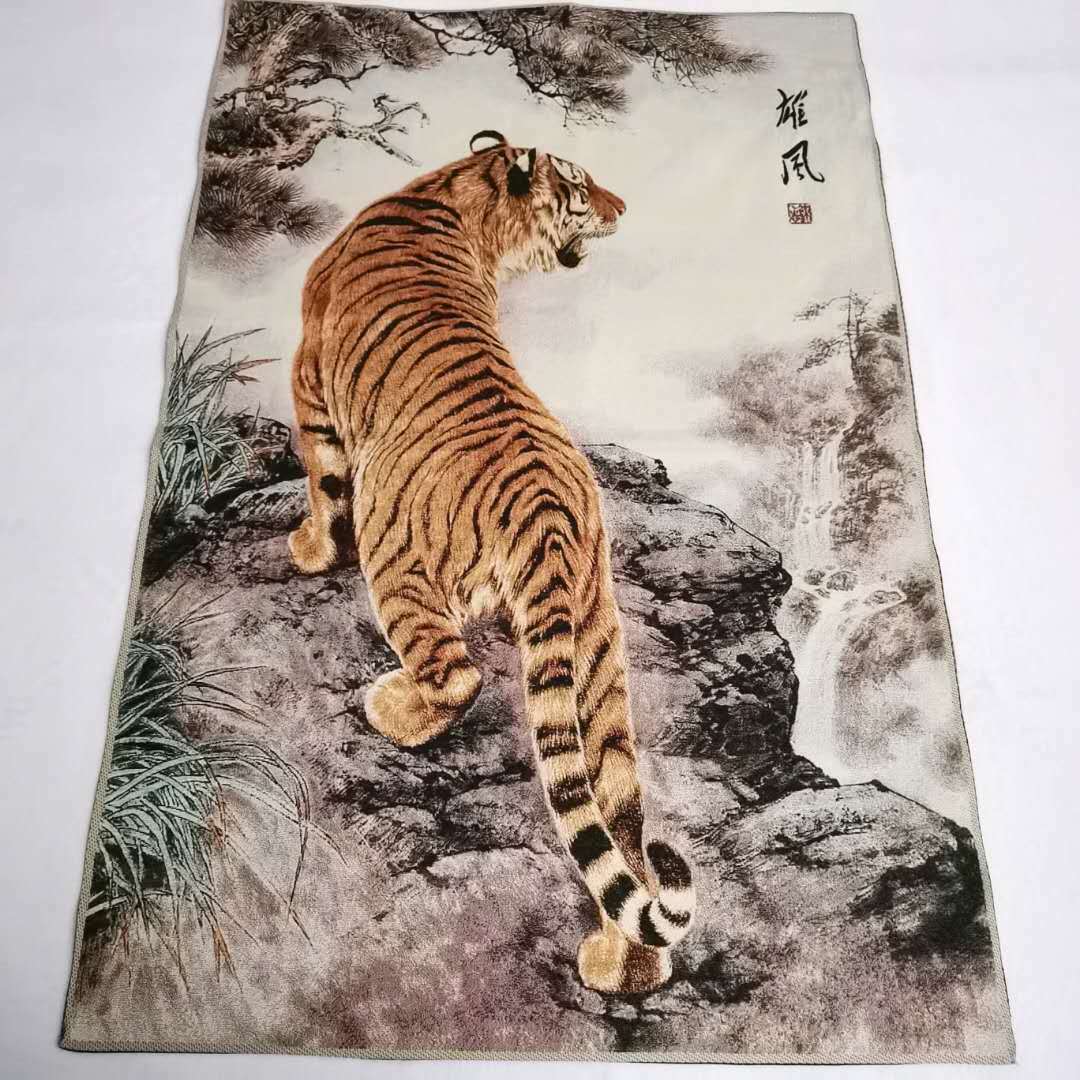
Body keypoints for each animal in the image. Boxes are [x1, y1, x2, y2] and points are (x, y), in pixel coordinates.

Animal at [289, 130, 695, 993]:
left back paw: (393, 708)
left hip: (400, 561)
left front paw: (307, 550)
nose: (623, 205)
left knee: (458, 675)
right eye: (580, 186)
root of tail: (549, 515)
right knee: (623, 823)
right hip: (598, 655)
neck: (456, 193)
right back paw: (625, 969)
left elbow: (323, 483)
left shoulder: (309, 380)